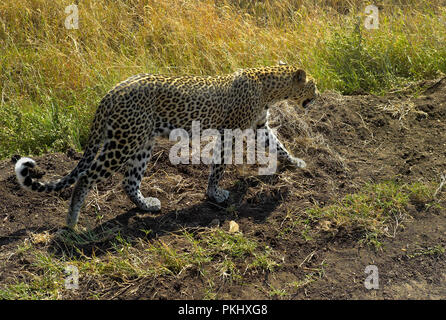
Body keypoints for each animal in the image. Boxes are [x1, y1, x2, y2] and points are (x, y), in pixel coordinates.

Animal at [15, 64, 318, 230]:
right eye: (313, 85)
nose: (318, 93)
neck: (270, 89)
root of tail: (110, 93)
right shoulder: (229, 132)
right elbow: (219, 166)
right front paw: (215, 194)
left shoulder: (259, 126)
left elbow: (278, 145)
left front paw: (296, 162)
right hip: (123, 142)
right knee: (87, 177)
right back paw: (72, 222)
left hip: (141, 142)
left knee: (128, 181)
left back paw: (147, 205)